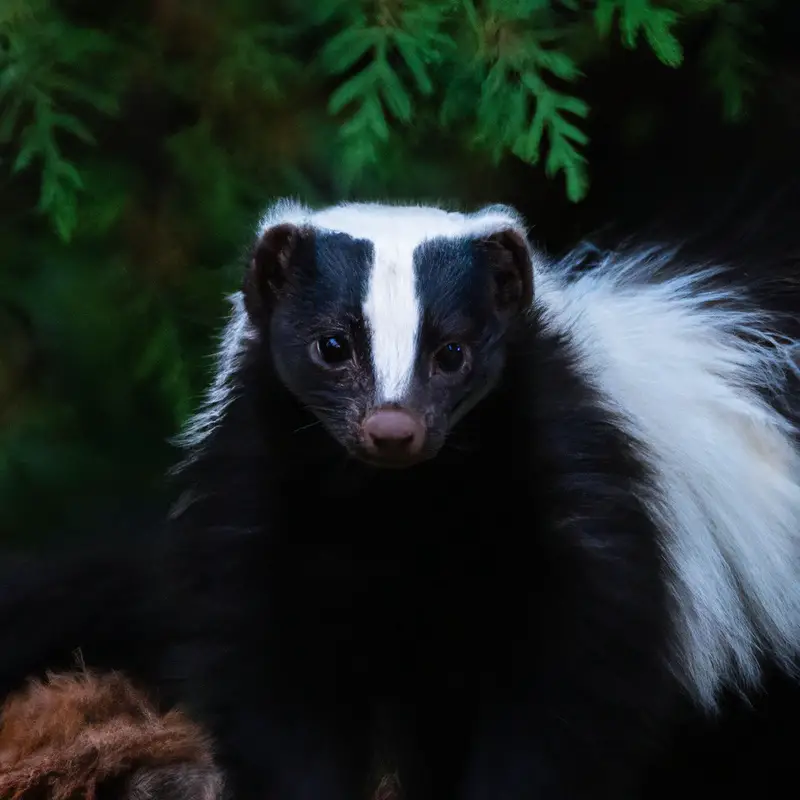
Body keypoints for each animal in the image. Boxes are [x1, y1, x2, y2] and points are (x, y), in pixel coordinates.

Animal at [1, 202, 800, 800]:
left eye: (453, 353)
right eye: (330, 346)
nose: (392, 427)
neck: (398, 507)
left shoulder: (585, 504)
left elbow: (566, 699)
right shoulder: (264, 506)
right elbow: (278, 694)